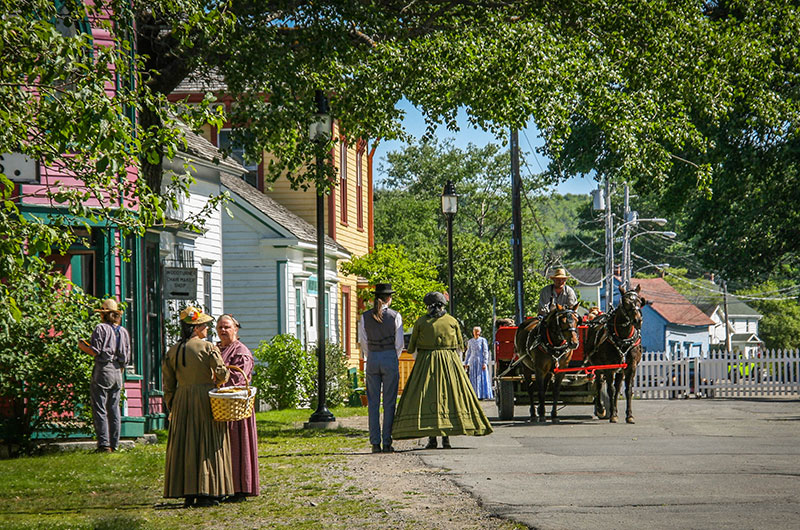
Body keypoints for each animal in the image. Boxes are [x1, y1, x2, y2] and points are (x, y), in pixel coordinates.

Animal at [584, 282, 648, 422]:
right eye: (626, 302)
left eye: (640, 301)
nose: (638, 320)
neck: (623, 338)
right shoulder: (609, 367)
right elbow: (611, 390)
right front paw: (612, 414)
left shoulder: (631, 367)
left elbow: (627, 390)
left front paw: (629, 415)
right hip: (598, 367)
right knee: (598, 384)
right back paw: (601, 408)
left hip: (620, 370)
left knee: (617, 386)